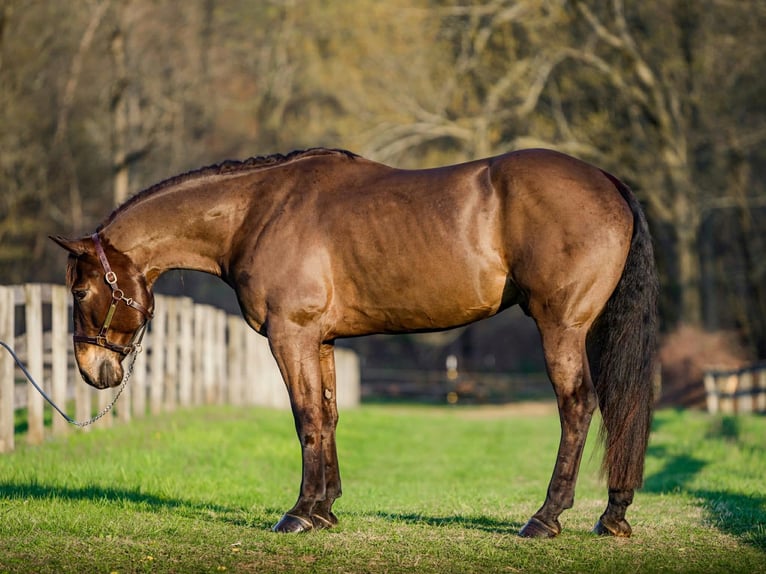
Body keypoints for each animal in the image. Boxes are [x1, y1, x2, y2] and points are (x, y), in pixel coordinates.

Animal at [51, 147, 658, 538]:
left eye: (80, 289)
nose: (90, 368)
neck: (256, 212)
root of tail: (608, 181)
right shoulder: (321, 341)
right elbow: (328, 415)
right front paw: (326, 509)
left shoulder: (290, 336)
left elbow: (305, 419)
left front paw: (299, 513)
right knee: (618, 407)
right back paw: (613, 515)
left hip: (562, 327)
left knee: (578, 406)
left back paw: (545, 518)